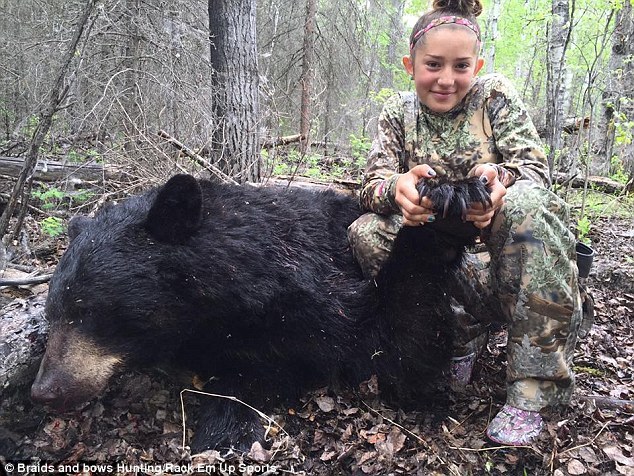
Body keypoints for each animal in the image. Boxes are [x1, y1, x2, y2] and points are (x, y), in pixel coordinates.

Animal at [30, 173, 488, 452]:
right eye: (52, 311)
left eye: (87, 309)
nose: (45, 390)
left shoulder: (319, 293)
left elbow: (392, 347)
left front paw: (452, 205)